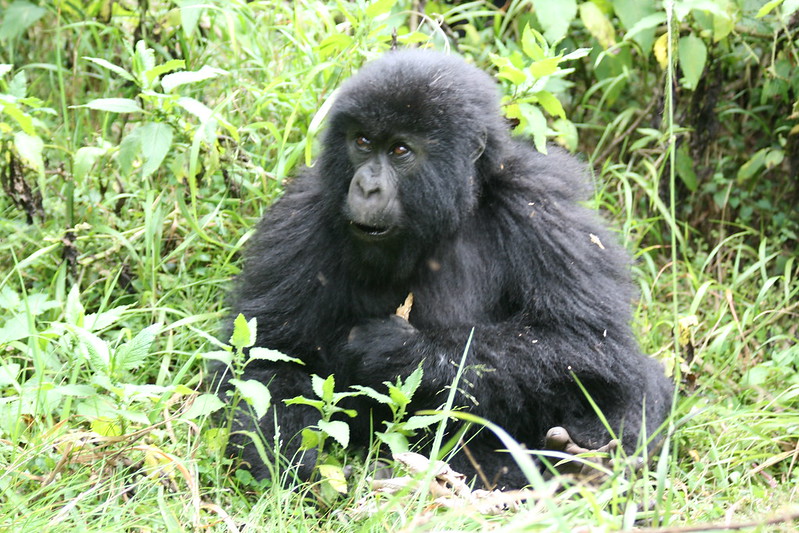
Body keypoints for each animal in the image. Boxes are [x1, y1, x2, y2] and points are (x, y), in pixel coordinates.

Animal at [217, 47, 676, 488]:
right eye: (362, 141)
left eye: (400, 150)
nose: (366, 186)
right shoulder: (302, 217)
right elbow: (266, 360)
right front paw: (297, 468)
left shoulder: (540, 204)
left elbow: (587, 339)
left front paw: (402, 352)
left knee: (632, 378)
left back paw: (579, 466)